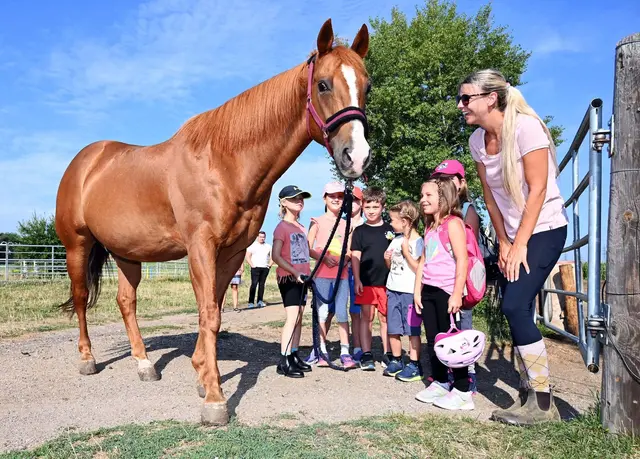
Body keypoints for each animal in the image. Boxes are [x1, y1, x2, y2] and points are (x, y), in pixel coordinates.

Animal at [54, 19, 371, 425]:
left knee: (126, 302)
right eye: (324, 84)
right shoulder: (201, 247)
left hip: (128, 253)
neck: (223, 161)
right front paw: (215, 400)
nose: (357, 157)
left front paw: (202, 376)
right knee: (81, 299)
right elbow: (208, 315)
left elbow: (215, 312)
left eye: (367, 86)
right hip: (76, 245)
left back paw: (144, 364)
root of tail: (86, 161)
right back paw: (88, 359)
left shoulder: (233, 252)